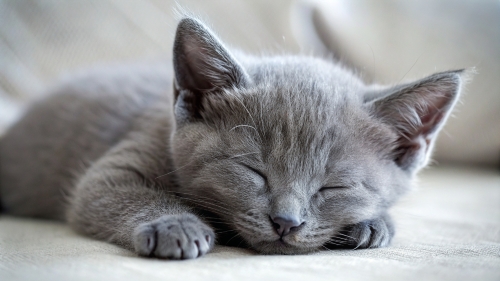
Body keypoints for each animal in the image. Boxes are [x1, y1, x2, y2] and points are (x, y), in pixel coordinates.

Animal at [0, 17, 464, 258]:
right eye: (252, 171)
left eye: (334, 187)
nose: (286, 222)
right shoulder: (127, 156)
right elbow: (106, 192)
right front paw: (176, 226)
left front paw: (373, 223)